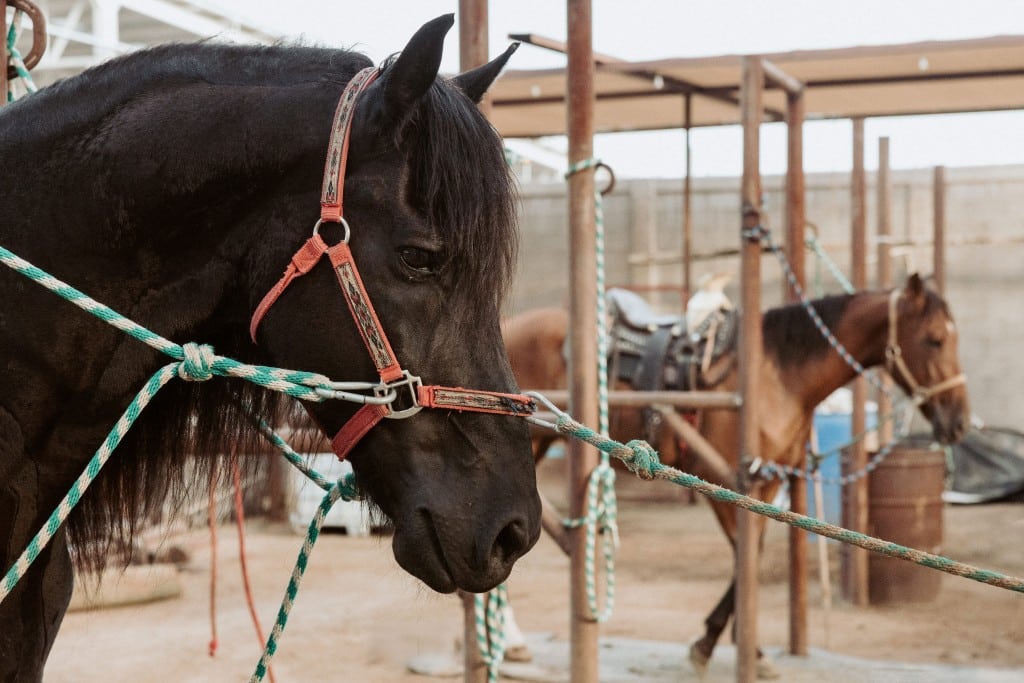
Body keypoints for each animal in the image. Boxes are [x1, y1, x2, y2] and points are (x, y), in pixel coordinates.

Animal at [502, 273, 969, 678]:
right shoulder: (724, 481)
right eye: (934, 340)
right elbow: (744, 554)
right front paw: (737, 648)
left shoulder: (769, 481)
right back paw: (511, 640)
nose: (960, 422)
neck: (778, 375)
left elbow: (752, 555)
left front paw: (720, 643)